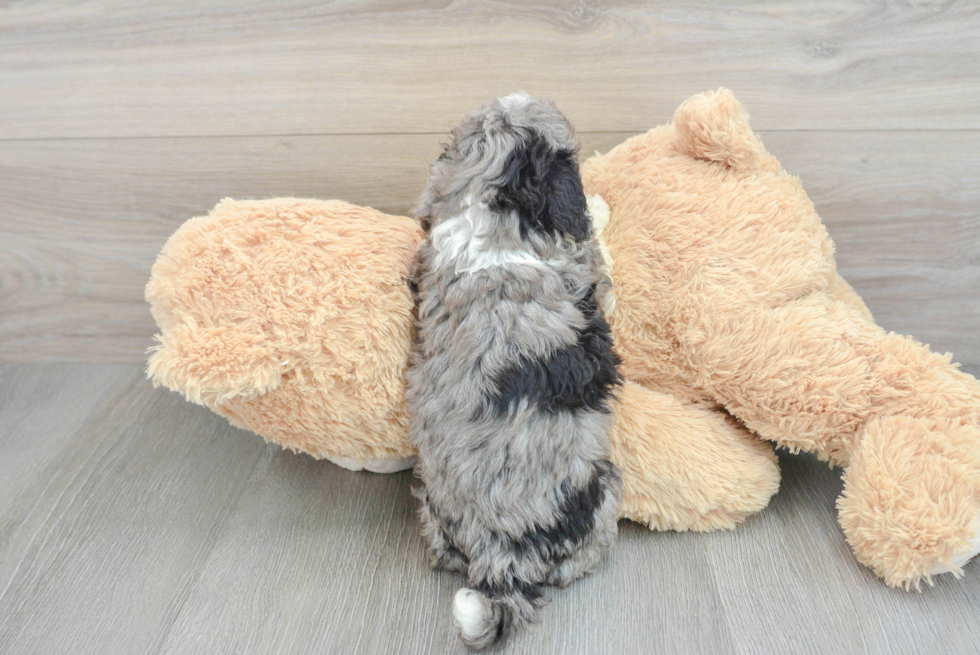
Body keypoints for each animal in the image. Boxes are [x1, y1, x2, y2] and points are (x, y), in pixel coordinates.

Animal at [408, 93, 624, 652]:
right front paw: (600, 206)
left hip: (434, 510)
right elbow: (597, 250)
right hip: (600, 492)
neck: (490, 215)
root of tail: (501, 554)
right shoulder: (585, 269)